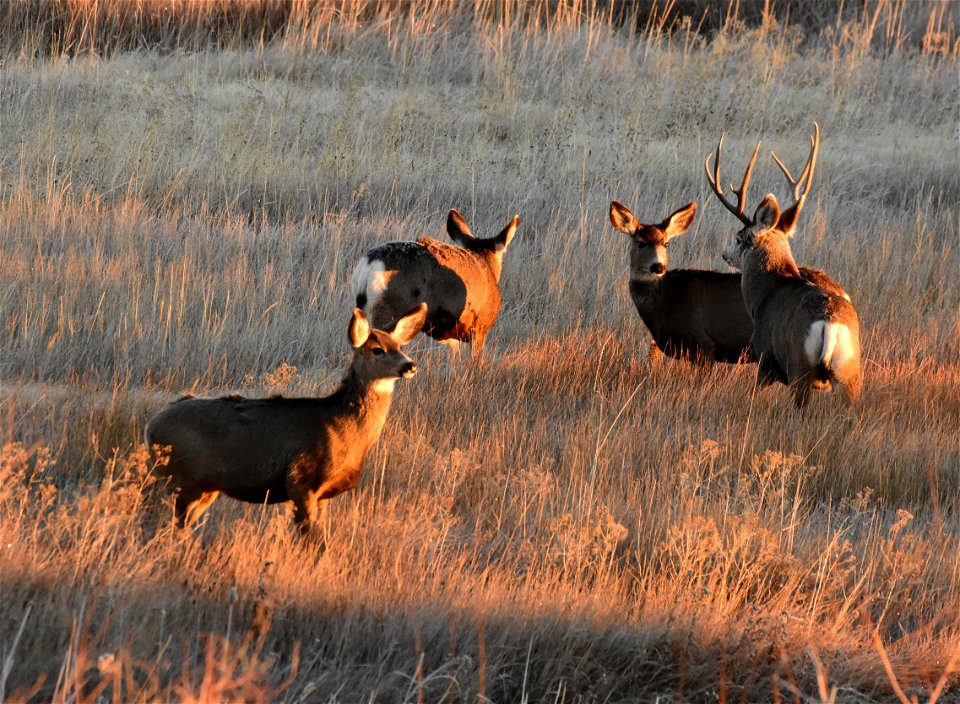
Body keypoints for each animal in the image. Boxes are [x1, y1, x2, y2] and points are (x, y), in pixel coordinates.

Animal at [143, 302, 428, 540]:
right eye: (378, 350)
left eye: (400, 347)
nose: (410, 366)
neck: (342, 426)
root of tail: (150, 427)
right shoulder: (301, 481)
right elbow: (312, 543)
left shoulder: (324, 495)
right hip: (182, 480)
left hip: (204, 487)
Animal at [608, 198, 848, 364]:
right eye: (640, 243)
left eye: (665, 243)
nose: (658, 267)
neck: (666, 300)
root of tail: (842, 293)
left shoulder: (703, 343)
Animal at [704, 122, 864, 408]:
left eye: (739, 238)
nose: (725, 254)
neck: (765, 294)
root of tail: (830, 324)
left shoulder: (765, 358)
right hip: (849, 371)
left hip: (800, 366)